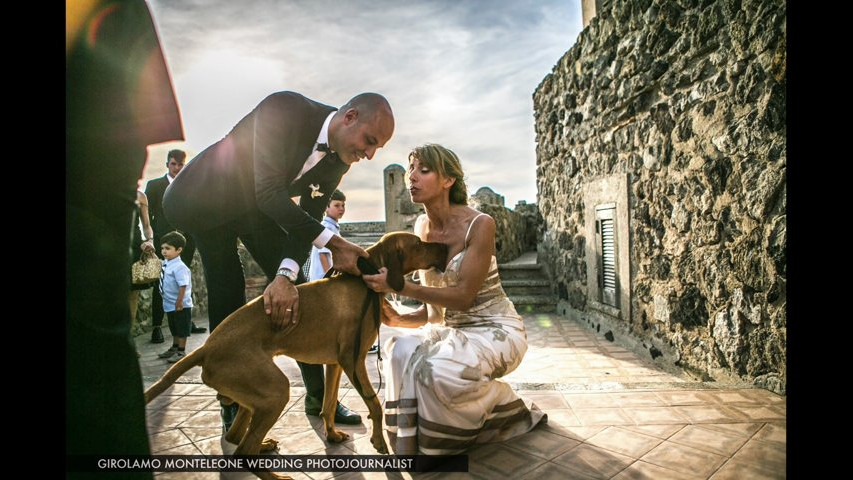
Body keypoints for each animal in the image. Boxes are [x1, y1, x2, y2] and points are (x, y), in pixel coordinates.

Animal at [144, 231, 446, 478]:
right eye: (418, 244)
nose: (443, 245)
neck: (363, 279)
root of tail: (207, 346)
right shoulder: (353, 361)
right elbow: (374, 404)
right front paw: (379, 442)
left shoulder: (336, 364)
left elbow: (328, 403)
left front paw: (332, 435)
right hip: (276, 390)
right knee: (243, 450)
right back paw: (276, 475)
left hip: (255, 395)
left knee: (235, 436)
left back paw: (264, 445)